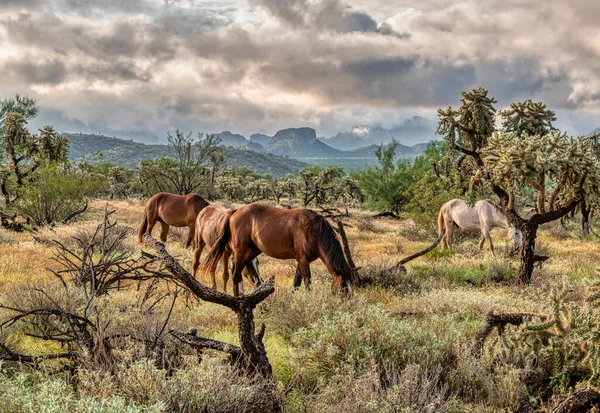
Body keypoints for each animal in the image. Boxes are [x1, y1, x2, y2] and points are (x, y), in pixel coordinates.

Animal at [200, 203, 356, 296]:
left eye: (352, 284)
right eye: (342, 287)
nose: (348, 304)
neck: (313, 230)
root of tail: (235, 211)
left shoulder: (300, 261)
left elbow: (296, 282)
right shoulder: (303, 260)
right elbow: (307, 283)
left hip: (252, 252)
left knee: (238, 273)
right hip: (240, 250)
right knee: (235, 273)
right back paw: (237, 298)